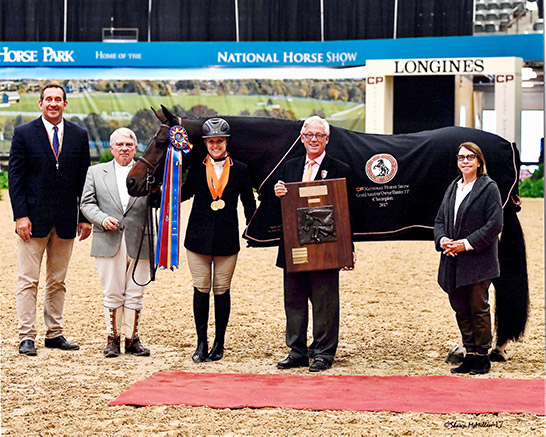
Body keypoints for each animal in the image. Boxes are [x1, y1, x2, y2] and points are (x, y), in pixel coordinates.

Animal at [126, 104, 528, 362]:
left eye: (162, 143)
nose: (133, 182)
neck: (279, 149)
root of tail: (508, 146)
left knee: (487, 285)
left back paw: (481, 350)